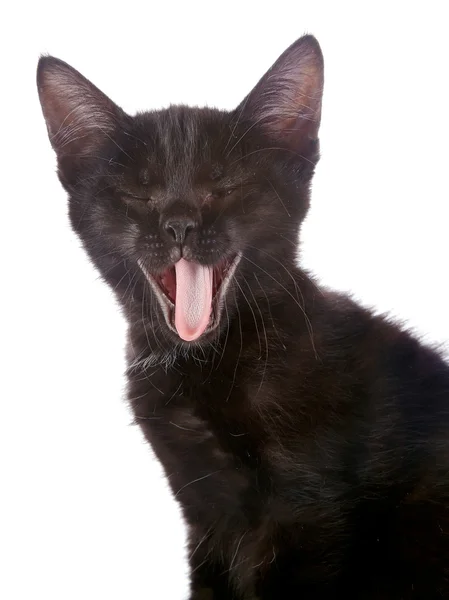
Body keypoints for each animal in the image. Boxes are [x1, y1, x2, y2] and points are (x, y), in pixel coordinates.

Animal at [37, 35, 448, 596]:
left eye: (225, 187)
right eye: (139, 195)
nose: (179, 223)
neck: (203, 362)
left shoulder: (307, 518)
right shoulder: (207, 519)